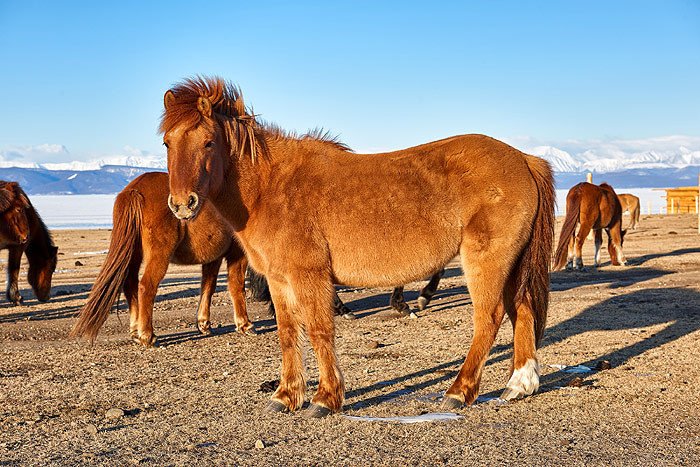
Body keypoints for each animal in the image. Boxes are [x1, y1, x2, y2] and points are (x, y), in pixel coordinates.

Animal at [70, 173, 258, 348]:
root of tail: (134, 190)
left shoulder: (213, 257)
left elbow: (208, 287)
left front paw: (203, 324)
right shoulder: (237, 254)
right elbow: (236, 285)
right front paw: (244, 324)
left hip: (134, 255)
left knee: (130, 285)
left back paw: (136, 331)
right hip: (159, 255)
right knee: (146, 286)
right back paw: (147, 335)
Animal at [161, 77, 556, 416]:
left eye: (209, 142)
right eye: (167, 142)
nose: (182, 204)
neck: (270, 187)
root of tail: (524, 159)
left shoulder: (309, 276)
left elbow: (319, 330)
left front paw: (325, 398)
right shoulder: (278, 280)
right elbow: (288, 333)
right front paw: (286, 396)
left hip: (486, 261)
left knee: (489, 318)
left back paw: (459, 392)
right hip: (512, 264)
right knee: (522, 309)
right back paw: (520, 384)